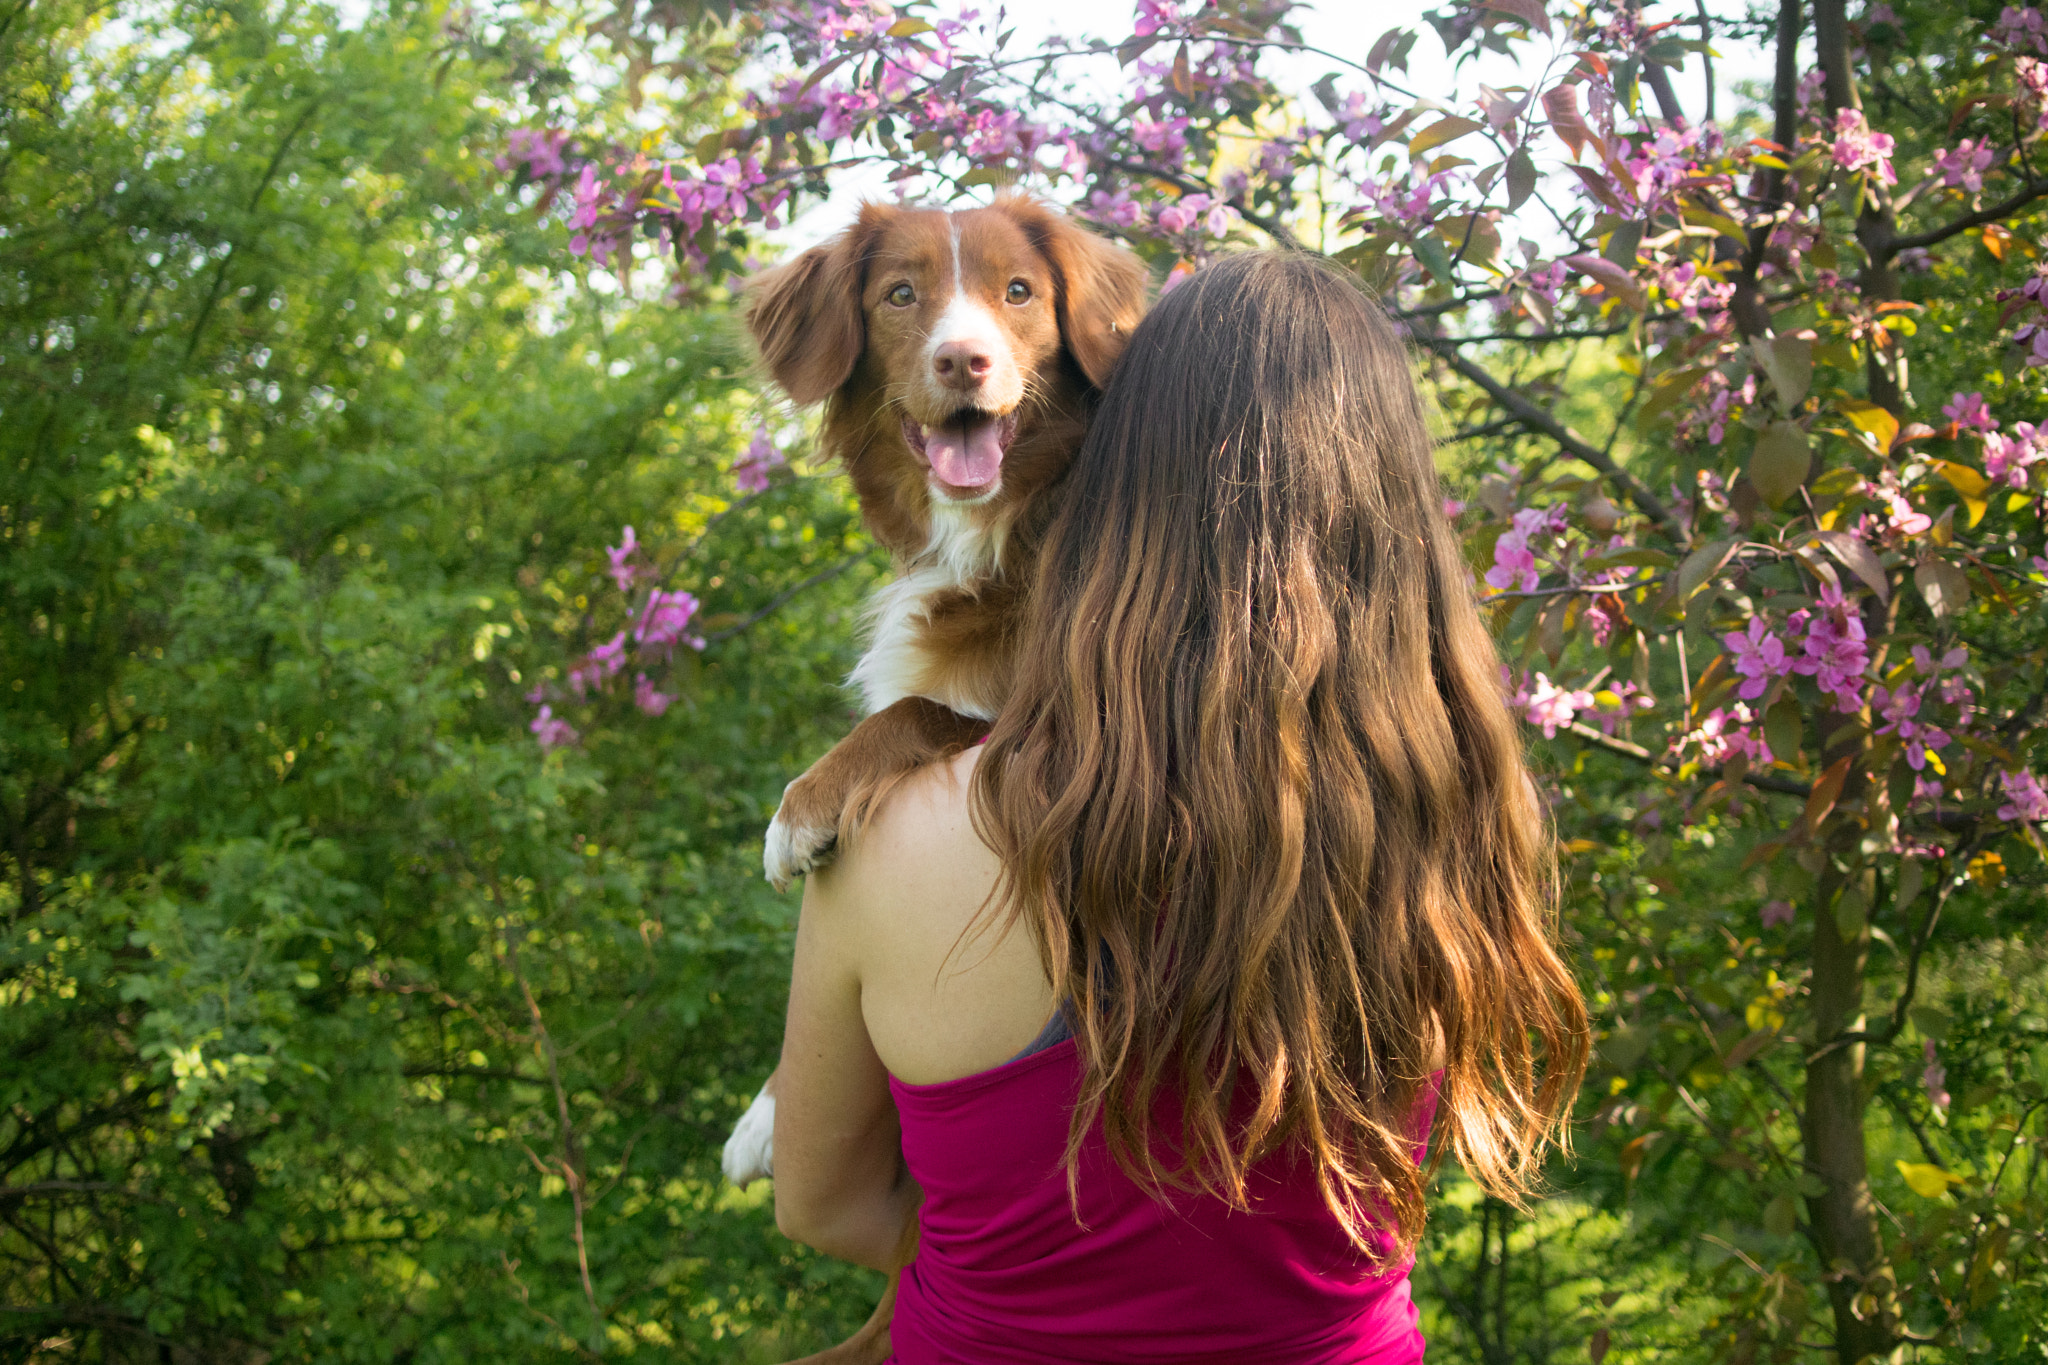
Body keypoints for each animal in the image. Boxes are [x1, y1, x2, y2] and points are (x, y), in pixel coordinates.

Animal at [720, 194, 1146, 1358]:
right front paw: (765, 1111)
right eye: (900, 294)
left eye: (1019, 293)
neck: (1006, 525)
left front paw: (802, 809)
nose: (965, 359)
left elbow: (916, 708)